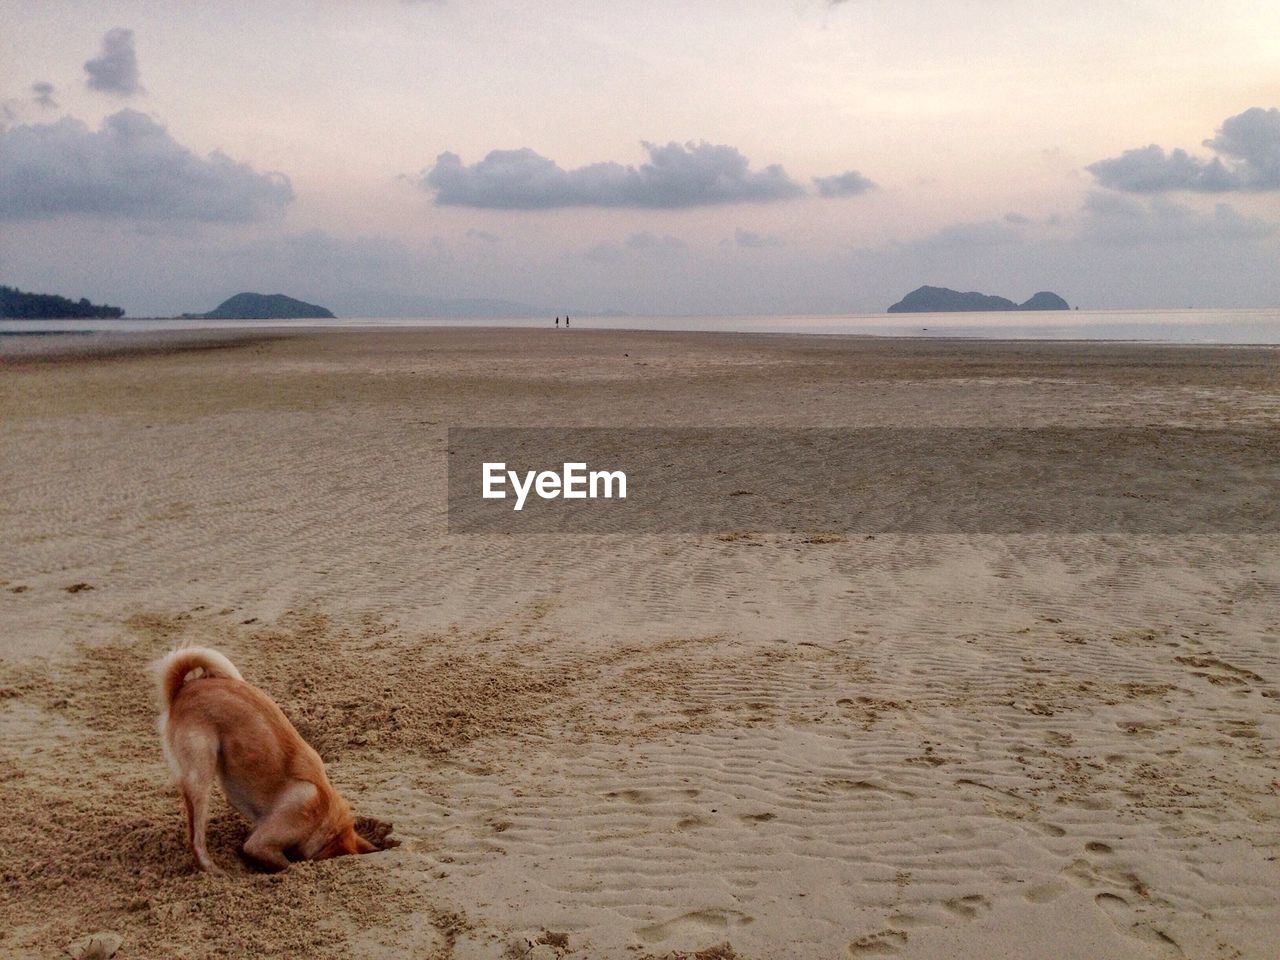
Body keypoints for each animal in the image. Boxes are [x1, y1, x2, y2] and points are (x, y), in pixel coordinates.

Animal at [153, 650, 373, 875]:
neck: (323, 808)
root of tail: (183, 689)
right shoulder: (260, 844)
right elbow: (286, 864)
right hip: (200, 777)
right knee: (196, 840)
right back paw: (214, 870)